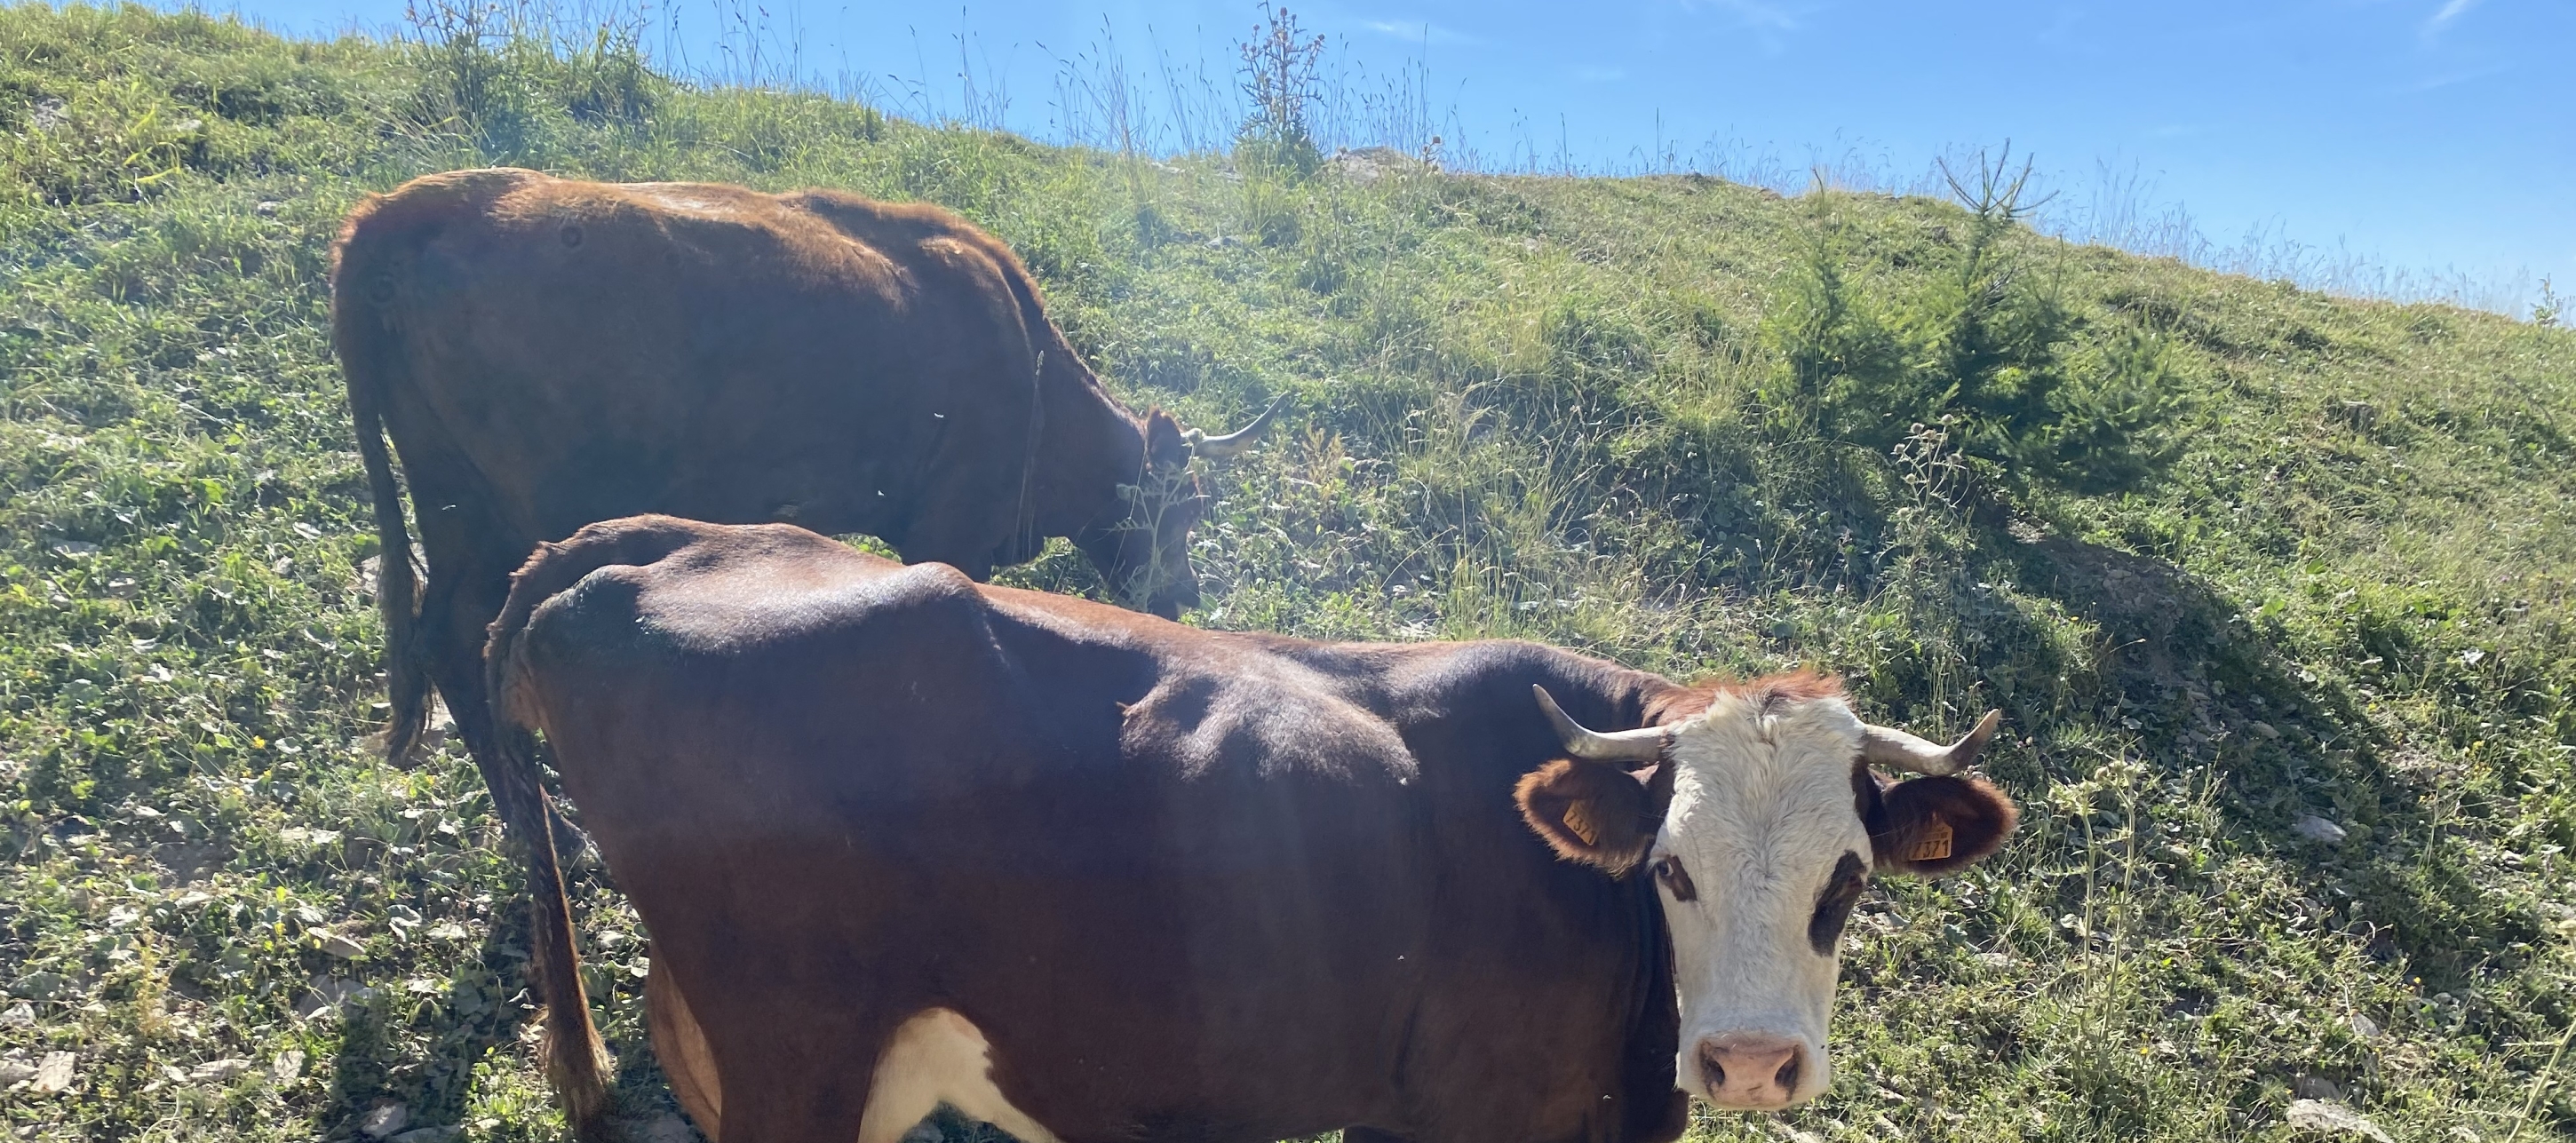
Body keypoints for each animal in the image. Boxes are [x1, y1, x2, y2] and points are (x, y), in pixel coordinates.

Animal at [332, 164, 1277, 834]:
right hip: (501, 512)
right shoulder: (949, 529)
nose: (1187, 591)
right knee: (462, 637)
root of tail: (411, 205)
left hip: (452, 504)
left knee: (440, 636)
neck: (1028, 370)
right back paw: (552, 828)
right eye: (1186, 506)